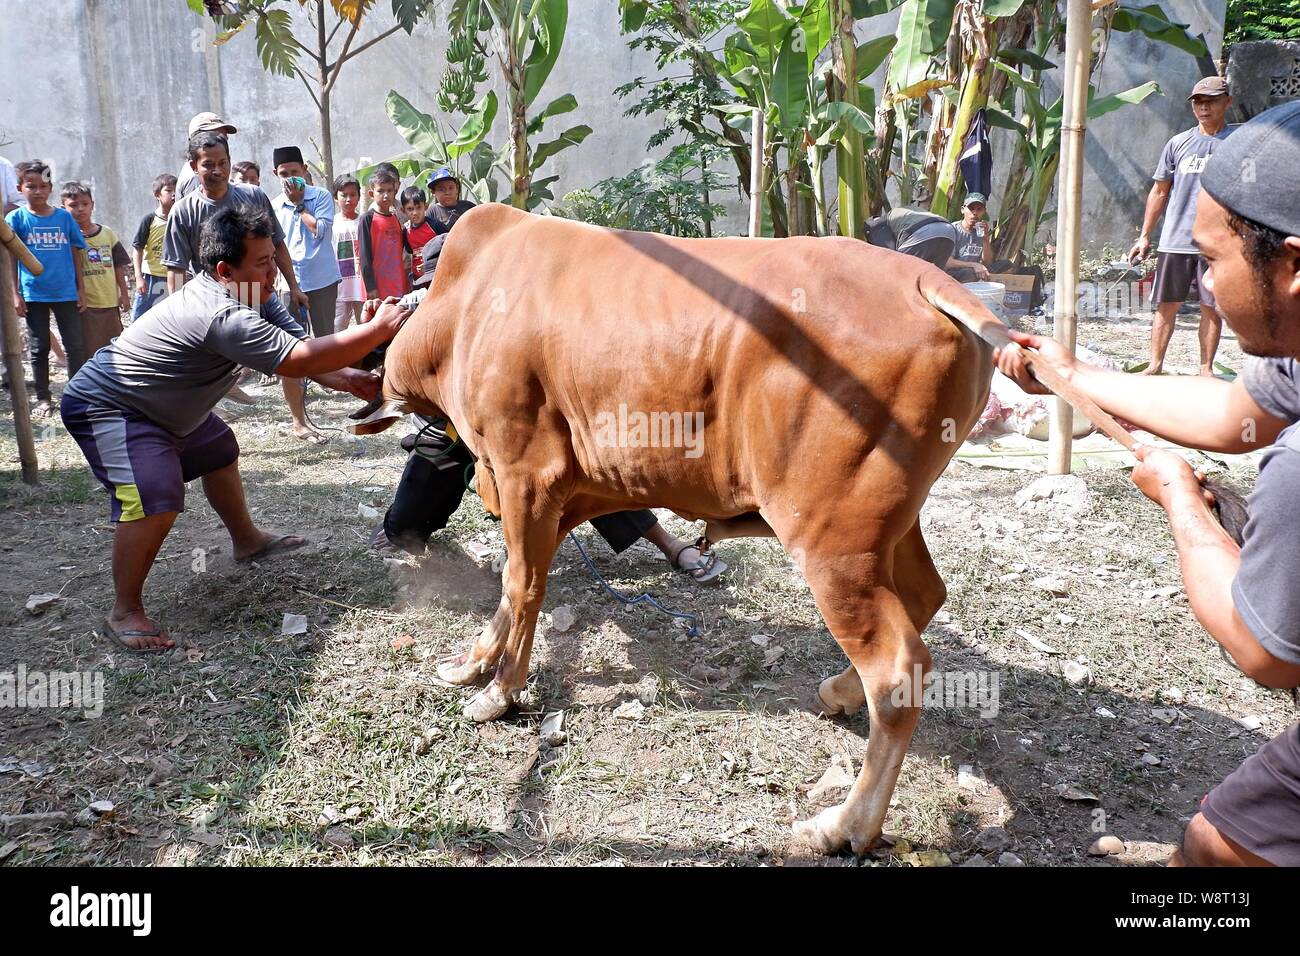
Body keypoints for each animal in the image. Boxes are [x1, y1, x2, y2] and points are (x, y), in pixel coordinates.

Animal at [366, 201, 1003, 853]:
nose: (406, 515)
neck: (463, 305)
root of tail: (926, 278)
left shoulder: (528, 476)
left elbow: (522, 586)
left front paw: (499, 691)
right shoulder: (569, 492)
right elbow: (517, 584)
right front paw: (473, 663)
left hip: (833, 543)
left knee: (898, 672)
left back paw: (844, 825)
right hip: (889, 530)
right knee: (927, 596)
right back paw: (840, 693)